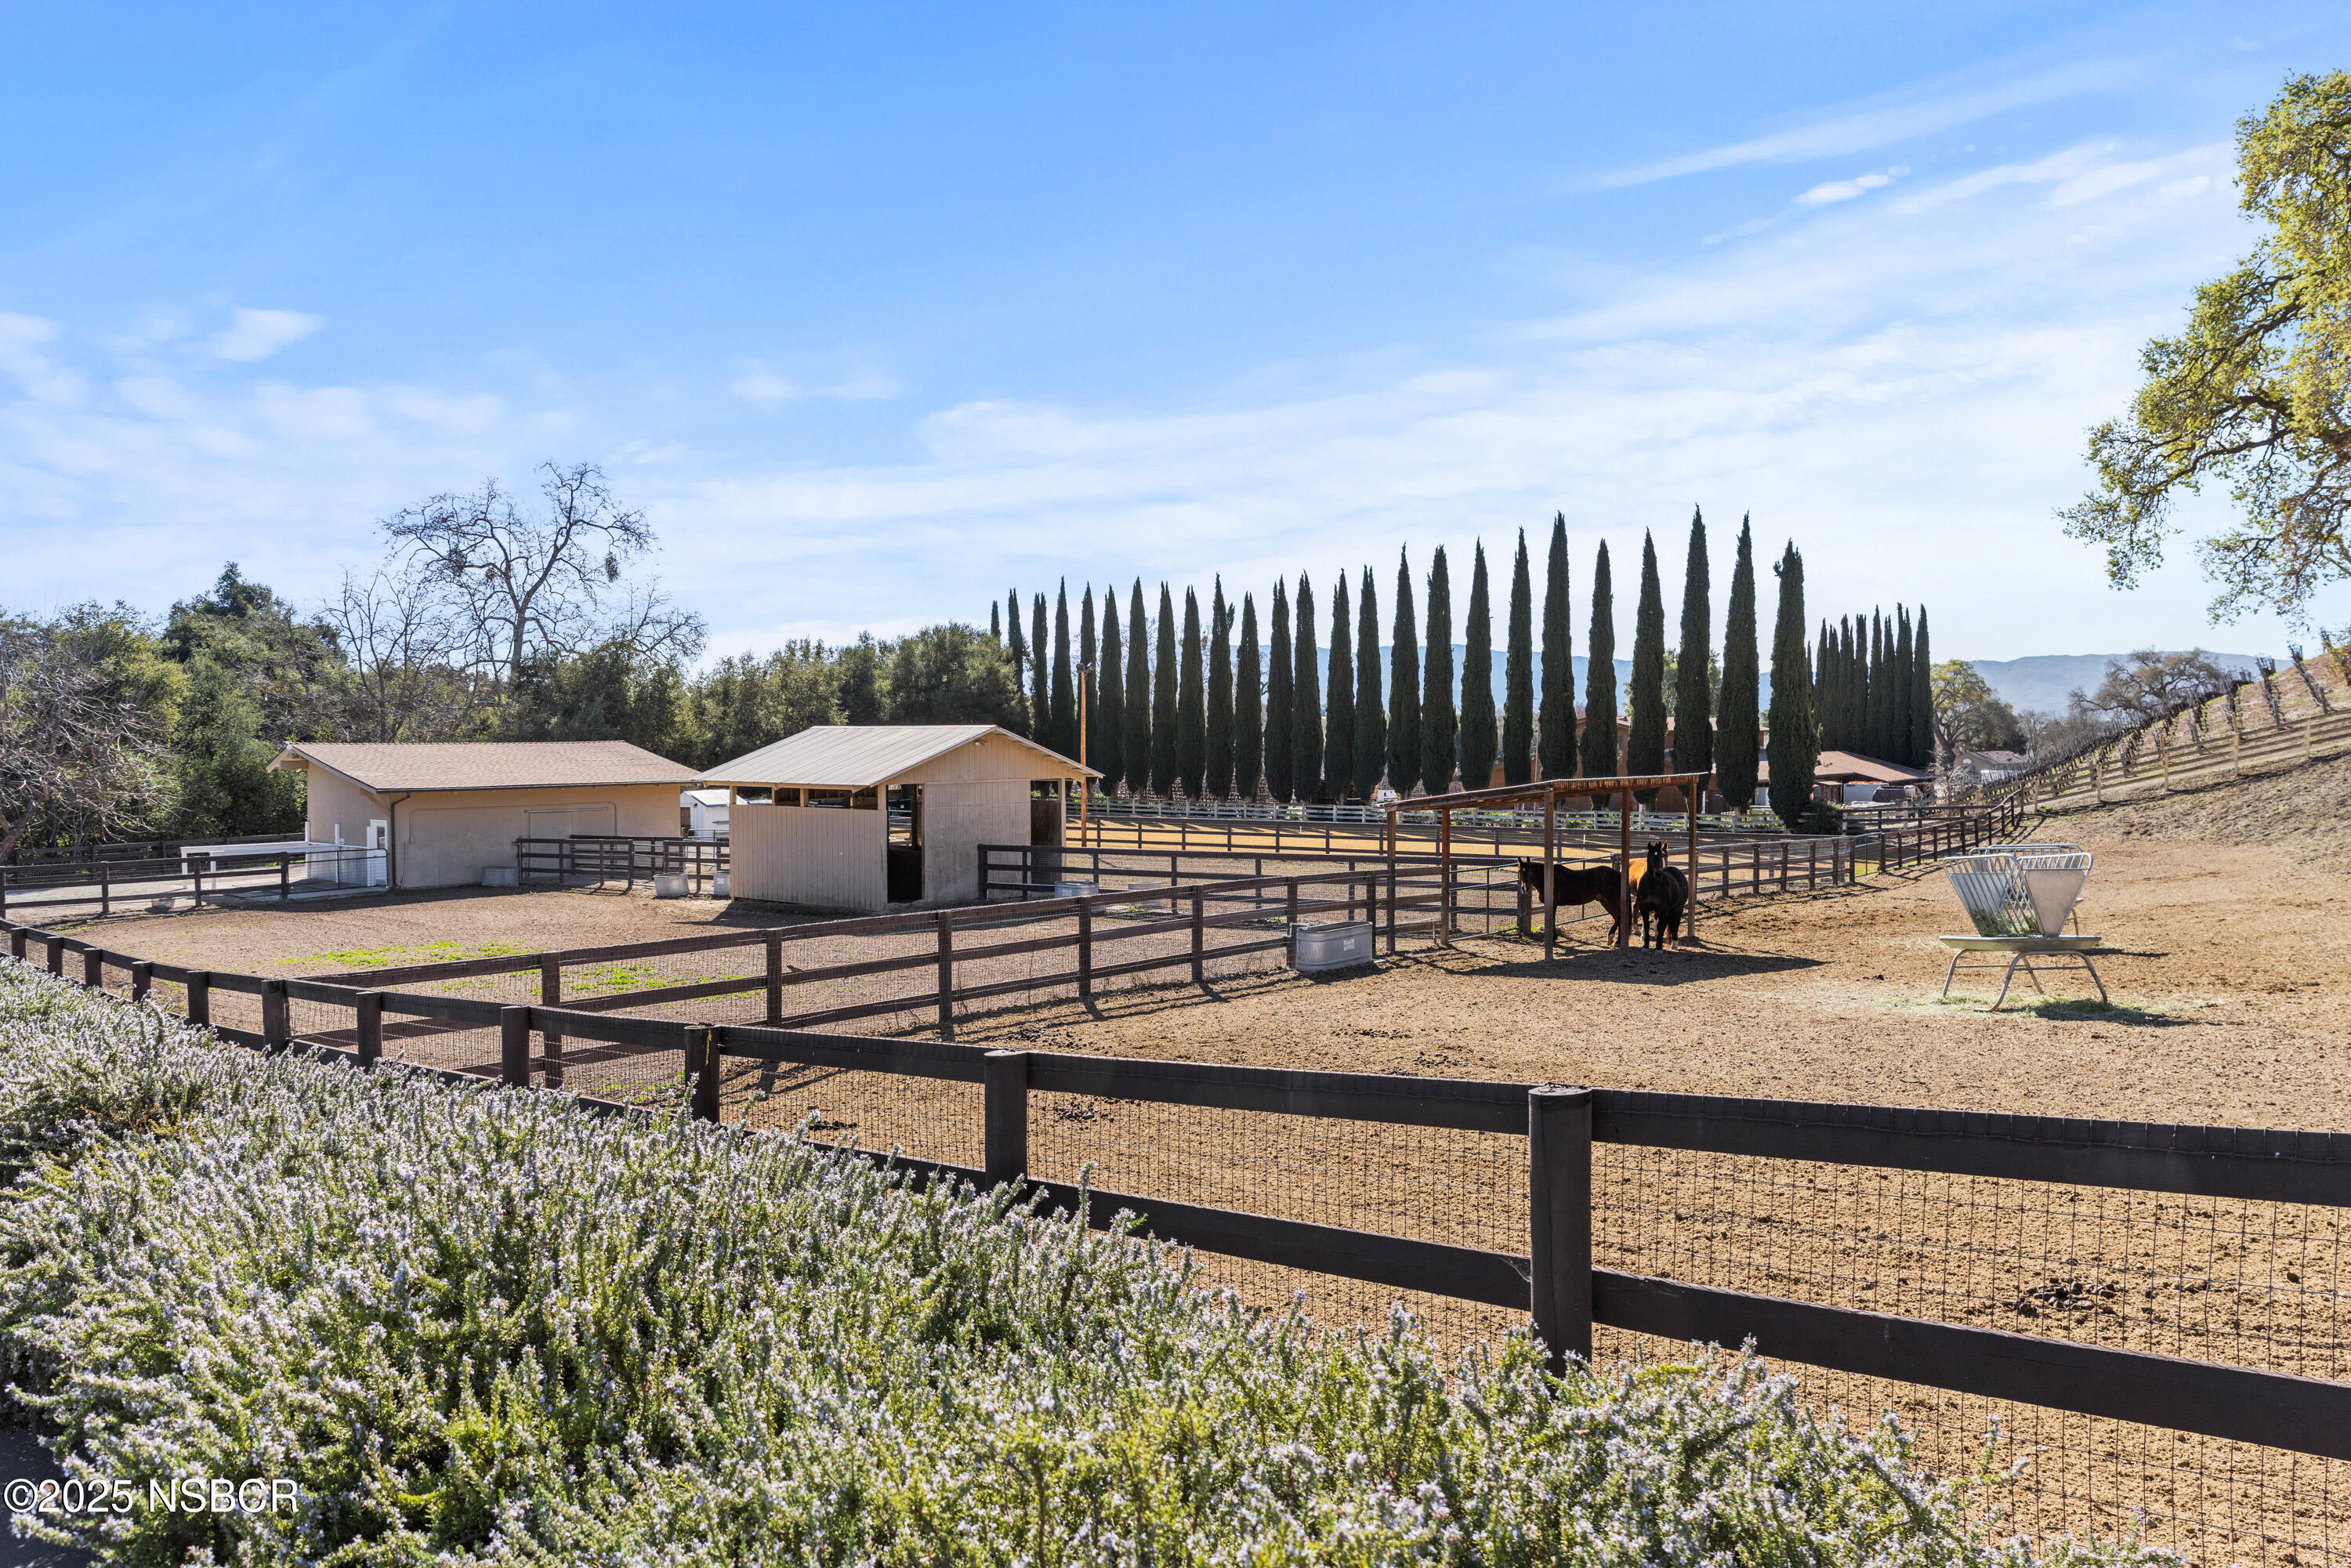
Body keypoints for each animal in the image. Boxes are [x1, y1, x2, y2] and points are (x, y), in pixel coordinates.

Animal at [1517, 859, 1626, 945]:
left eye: (1529, 871)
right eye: (1519, 871)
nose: (1524, 888)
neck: (1548, 879)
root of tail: (1619, 875)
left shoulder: (1553, 904)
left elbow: (1552, 920)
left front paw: (1550, 939)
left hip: (1613, 901)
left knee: (1620, 918)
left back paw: (1618, 941)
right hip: (1605, 902)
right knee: (1616, 918)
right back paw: (1611, 938)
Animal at [1636, 840, 1690, 949]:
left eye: (1661, 855)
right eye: (1651, 856)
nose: (1658, 874)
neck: (1652, 886)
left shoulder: (1663, 909)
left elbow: (1661, 927)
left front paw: (1658, 947)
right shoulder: (1644, 908)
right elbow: (1647, 926)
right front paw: (1645, 946)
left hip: (1679, 907)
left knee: (1676, 924)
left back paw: (1674, 944)